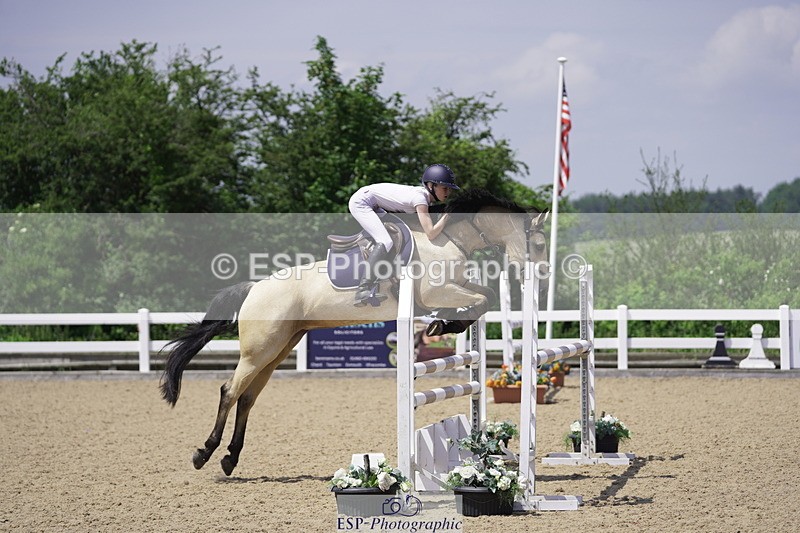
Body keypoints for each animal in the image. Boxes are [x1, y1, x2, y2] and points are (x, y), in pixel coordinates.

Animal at [159, 189, 549, 476]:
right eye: (540, 243)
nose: (539, 277)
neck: (449, 240)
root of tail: (254, 288)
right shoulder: (438, 292)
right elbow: (484, 298)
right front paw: (443, 323)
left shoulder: (455, 288)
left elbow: (483, 298)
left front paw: (445, 323)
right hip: (258, 351)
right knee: (229, 392)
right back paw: (204, 453)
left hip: (277, 351)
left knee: (247, 398)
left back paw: (230, 458)